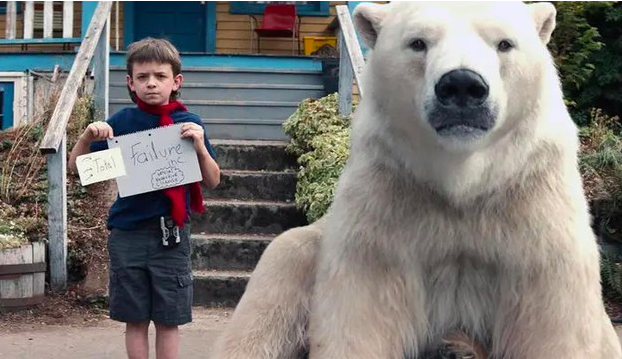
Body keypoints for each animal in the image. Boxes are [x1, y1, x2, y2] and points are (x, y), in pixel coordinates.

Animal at [212, 2, 620, 359]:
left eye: (504, 43)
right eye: (418, 42)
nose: (462, 85)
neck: (461, 178)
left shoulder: (530, 197)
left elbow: (552, 319)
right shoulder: (388, 196)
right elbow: (362, 313)